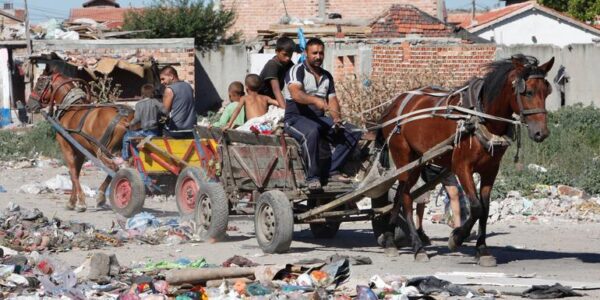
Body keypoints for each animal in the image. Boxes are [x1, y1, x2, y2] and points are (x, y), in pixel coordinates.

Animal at [27, 69, 133, 212]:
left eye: (39, 85)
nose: (28, 105)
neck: (71, 107)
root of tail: (125, 118)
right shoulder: (81, 150)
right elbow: (76, 173)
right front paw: (72, 201)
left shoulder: (66, 147)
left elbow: (72, 173)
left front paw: (80, 202)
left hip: (104, 151)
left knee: (114, 168)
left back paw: (102, 195)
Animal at [380, 54, 552, 264]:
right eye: (527, 92)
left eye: (547, 91)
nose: (541, 133)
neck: (481, 117)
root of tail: (395, 103)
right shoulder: (462, 167)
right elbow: (476, 207)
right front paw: (456, 238)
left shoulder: (490, 170)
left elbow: (485, 209)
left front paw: (483, 250)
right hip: (403, 158)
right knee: (405, 197)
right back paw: (418, 247)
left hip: (417, 161)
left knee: (399, 195)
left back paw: (390, 240)